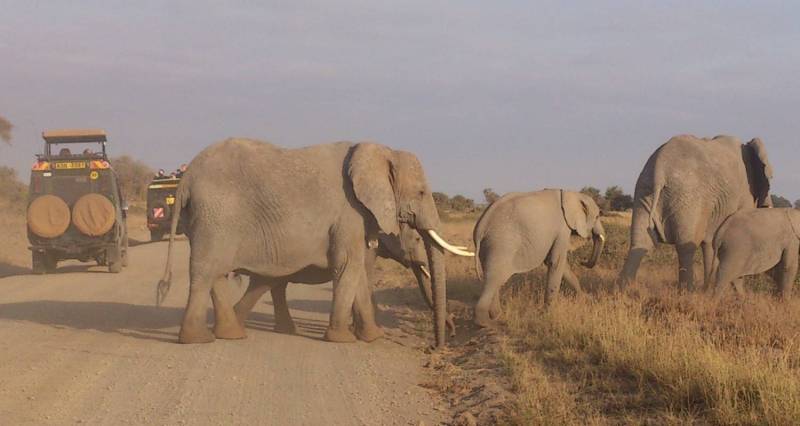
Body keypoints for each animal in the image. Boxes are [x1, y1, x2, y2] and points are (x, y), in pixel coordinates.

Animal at [231, 224, 457, 336]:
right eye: (417, 239)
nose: (453, 333)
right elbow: (365, 279)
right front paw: (361, 330)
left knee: (273, 286)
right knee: (265, 284)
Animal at [472, 189, 606, 327]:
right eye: (597, 217)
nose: (582, 261)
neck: (571, 193)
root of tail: (480, 227)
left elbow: (559, 265)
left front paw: (585, 298)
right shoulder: (562, 229)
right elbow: (556, 262)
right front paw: (548, 314)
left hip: (489, 246)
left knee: (493, 278)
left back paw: (498, 316)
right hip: (501, 244)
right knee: (494, 279)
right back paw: (486, 323)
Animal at [619, 135, 774, 291]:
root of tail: (660, 170)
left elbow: (710, 243)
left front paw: (707, 290)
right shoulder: (744, 194)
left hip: (644, 192)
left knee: (640, 242)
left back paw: (623, 291)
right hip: (688, 197)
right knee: (686, 247)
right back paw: (686, 292)